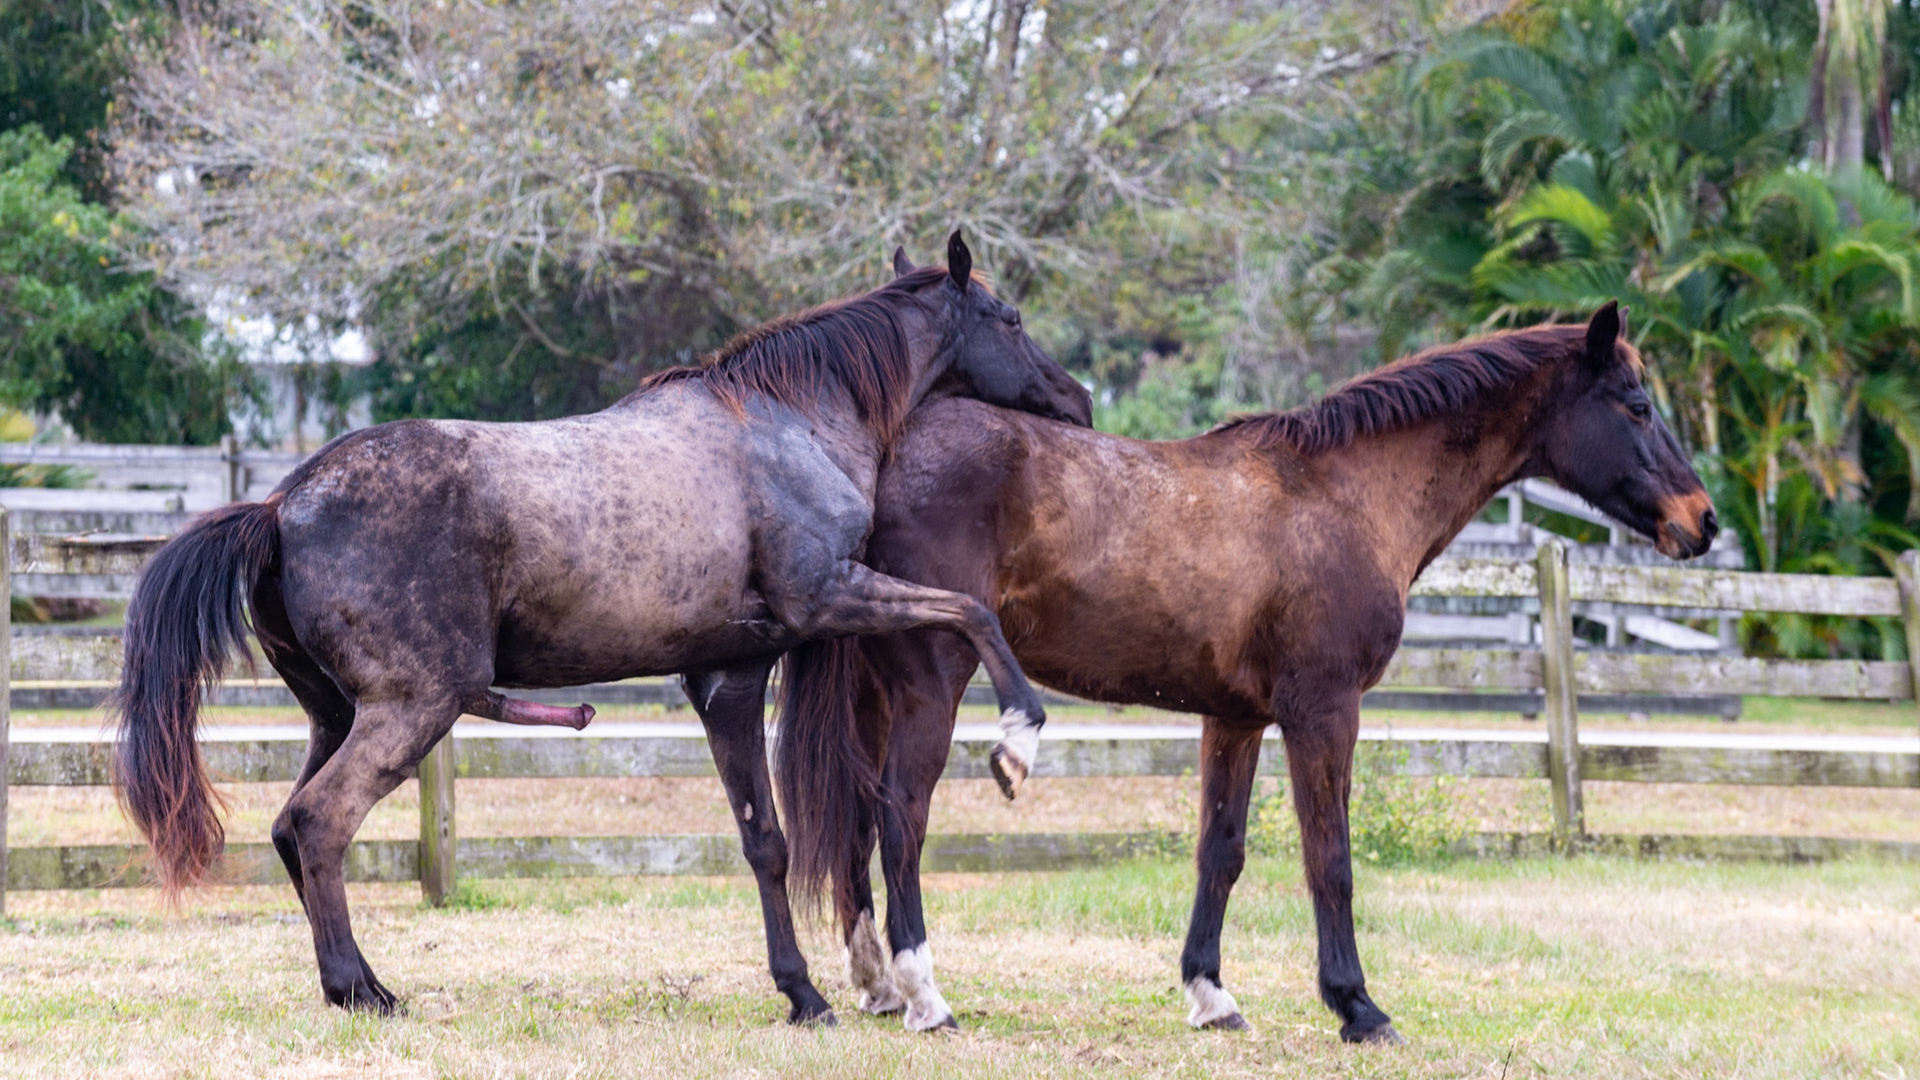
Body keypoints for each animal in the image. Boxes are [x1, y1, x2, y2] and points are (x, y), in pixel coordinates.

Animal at [111, 232, 1093, 1025]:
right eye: (1008, 316)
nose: (1078, 398)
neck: (790, 424)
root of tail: (281, 506)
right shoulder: (830, 598)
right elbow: (972, 614)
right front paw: (1018, 737)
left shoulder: (729, 680)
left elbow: (765, 842)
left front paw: (802, 994)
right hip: (410, 710)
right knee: (319, 824)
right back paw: (366, 990)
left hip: (336, 716)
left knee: (290, 827)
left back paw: (344, 984)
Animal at [774, 303, 1719, 1037]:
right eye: (1637, 405)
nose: (1702, 521)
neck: (1342, 493)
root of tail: (885, 454)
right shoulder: (1323, 712)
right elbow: (1328, 857)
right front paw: (1357, 1007)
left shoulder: (1234, 718)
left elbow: (1219, 853)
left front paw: (1210, 994)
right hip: (930, 684)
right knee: (901, 817)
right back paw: (926, 995)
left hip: (877, 694)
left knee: (857, 823)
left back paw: (876, 986)